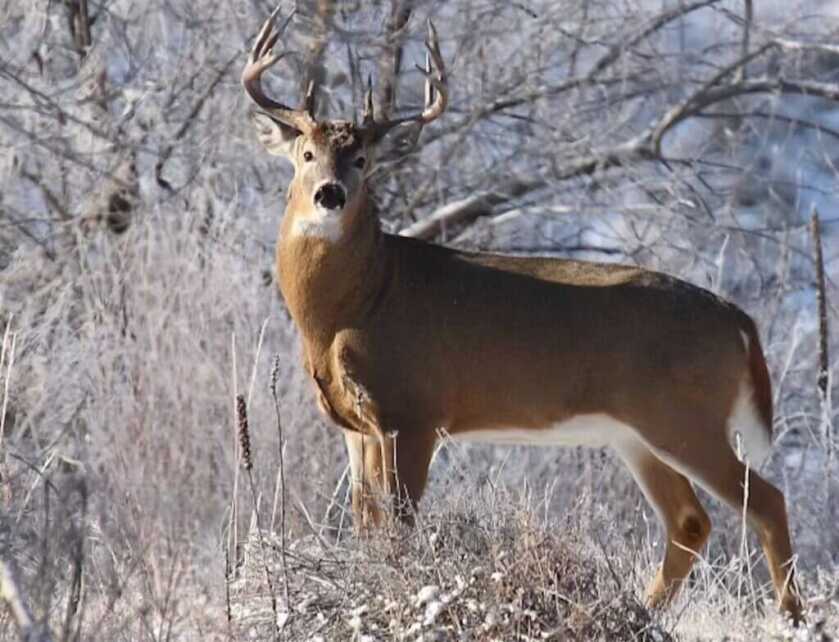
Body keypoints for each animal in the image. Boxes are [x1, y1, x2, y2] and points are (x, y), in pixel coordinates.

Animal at [242, 10, 803, 623]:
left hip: (685, 417)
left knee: (766, 500)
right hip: (637, 432)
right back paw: (640, 611)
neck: (354, 304)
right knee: (690, 522)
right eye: (306, 155)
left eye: (362, 160)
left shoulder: (413, 411)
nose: (330, 194)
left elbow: (400, 528)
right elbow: (367, 526)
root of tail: (740, 321)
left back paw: (794, 618)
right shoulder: (353, 424)